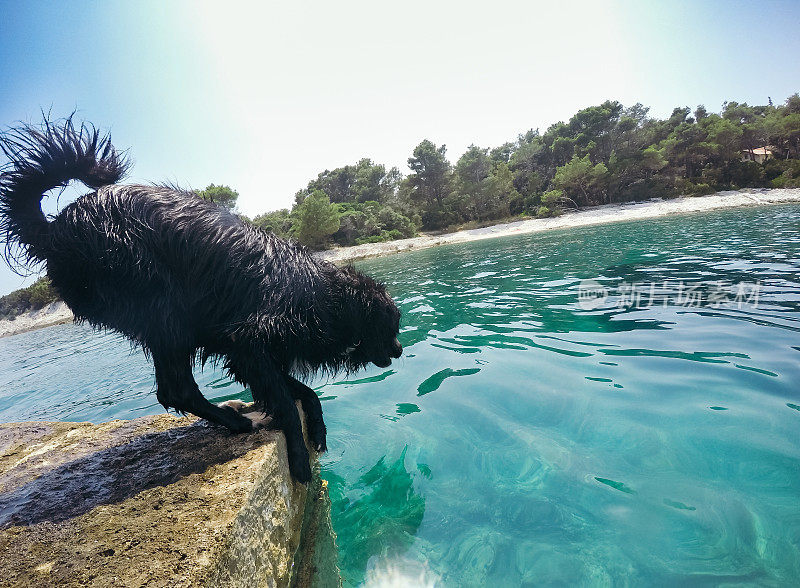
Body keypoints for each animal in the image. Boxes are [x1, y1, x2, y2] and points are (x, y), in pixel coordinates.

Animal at [0, 118, 400, 482]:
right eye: (391, 326)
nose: (398, 350)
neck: (322, 296)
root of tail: (55, 228)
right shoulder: (249, 342)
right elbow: (286, 401)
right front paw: (300, 460)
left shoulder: (252, 356)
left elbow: (301, 391)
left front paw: (317, 430)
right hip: (163, 308)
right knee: (177, 389)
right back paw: (236, 421)